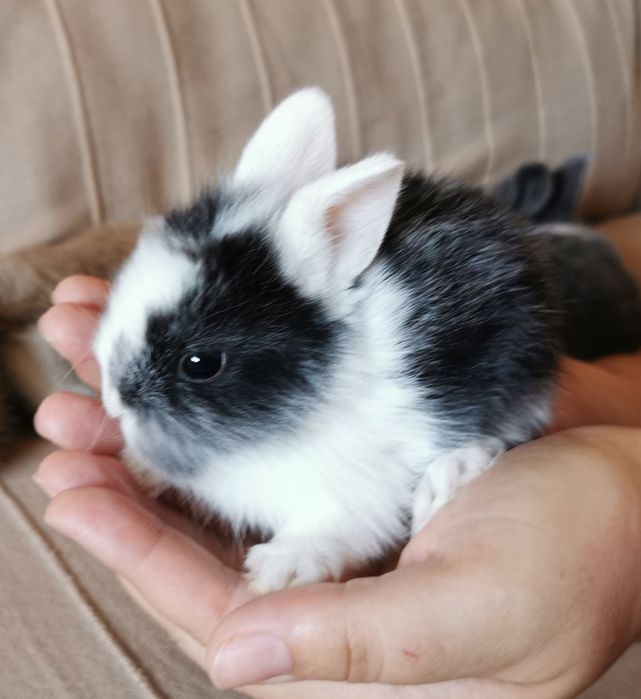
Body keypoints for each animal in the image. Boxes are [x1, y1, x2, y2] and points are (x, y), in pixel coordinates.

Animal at [94, 88, 640, 592]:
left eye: (200, 362)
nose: (116, 398)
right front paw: (140, 468)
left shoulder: (354, 497)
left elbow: (331, 528)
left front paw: (278, 569)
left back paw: (446, 482)